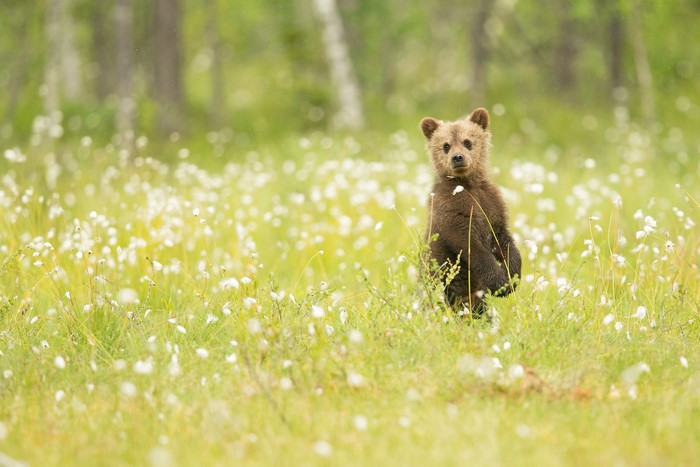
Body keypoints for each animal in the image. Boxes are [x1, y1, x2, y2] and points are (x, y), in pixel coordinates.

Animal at [420, 108, 521, 315]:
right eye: (446, 145)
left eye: (467, 141)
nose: (457, 157)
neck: (467, 183)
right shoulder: (451, 207)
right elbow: (468, 243)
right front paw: (500, 282)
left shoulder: (491, 203)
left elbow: (502, 237)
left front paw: (513, 274)